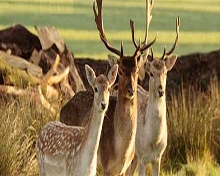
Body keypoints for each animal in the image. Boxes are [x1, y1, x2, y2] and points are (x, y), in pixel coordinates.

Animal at [60, 0, 156, 175]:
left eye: (137, 69)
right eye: (121, 70)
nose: (131, 90)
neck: (121, 151)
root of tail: (62, 107)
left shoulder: (125, 168)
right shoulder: (105, 165)